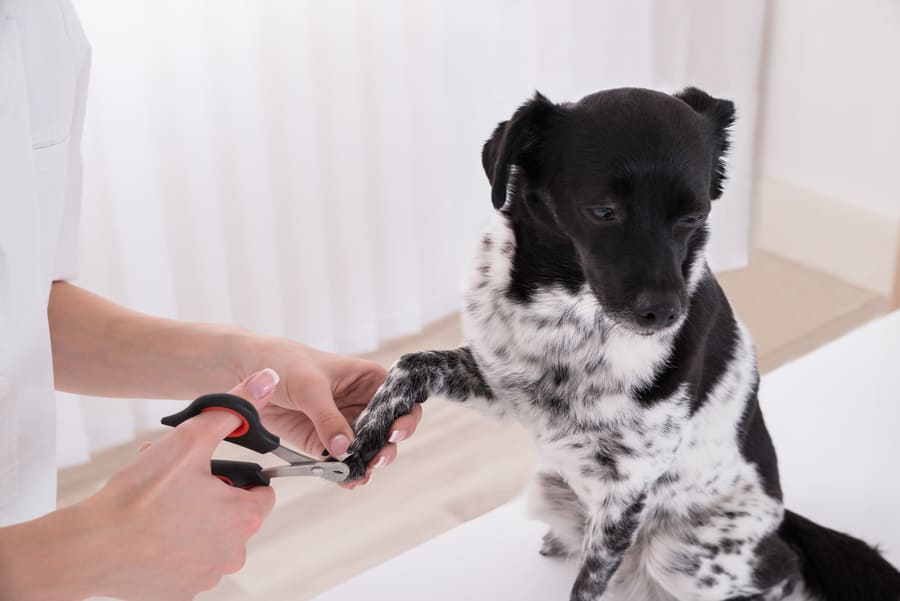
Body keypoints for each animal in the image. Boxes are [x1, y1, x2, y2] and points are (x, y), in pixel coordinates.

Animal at [342, 86, 900, 596]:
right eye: (604, 211)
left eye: (693, 217)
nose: (665, 313)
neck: (569, 316)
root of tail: (783, 518)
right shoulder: (504, 391)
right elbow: (411, 362)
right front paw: (365, 438)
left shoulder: (627, 489)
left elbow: (589, 584)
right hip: (550, 485)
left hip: (683, 552)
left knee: (782, 571)